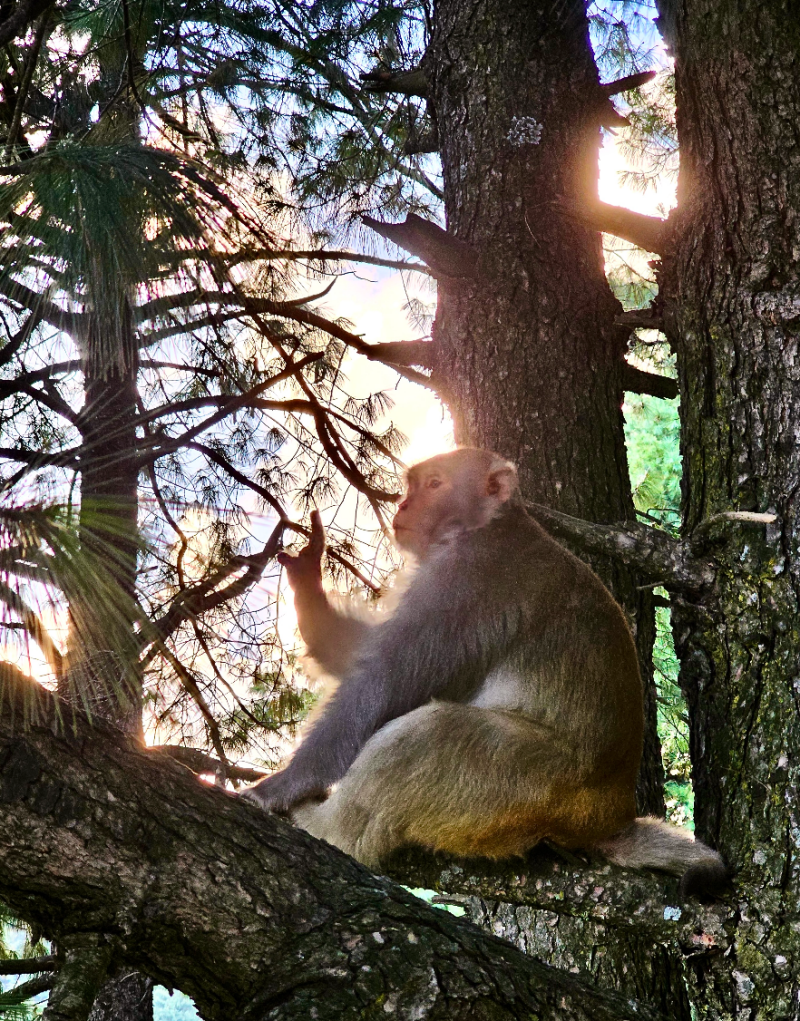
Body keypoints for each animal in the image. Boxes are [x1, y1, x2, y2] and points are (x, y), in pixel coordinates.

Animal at [242, 447, 726, 896]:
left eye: (435, 484)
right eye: (412, 485)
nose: (404, 505)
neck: (489, 525)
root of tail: (609, 815)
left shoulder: (467, 578)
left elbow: (380, 685)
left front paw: (284, 785)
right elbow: (362, 653)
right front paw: (307, 577)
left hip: (531, 787)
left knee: (430, 734)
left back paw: (327, 829)